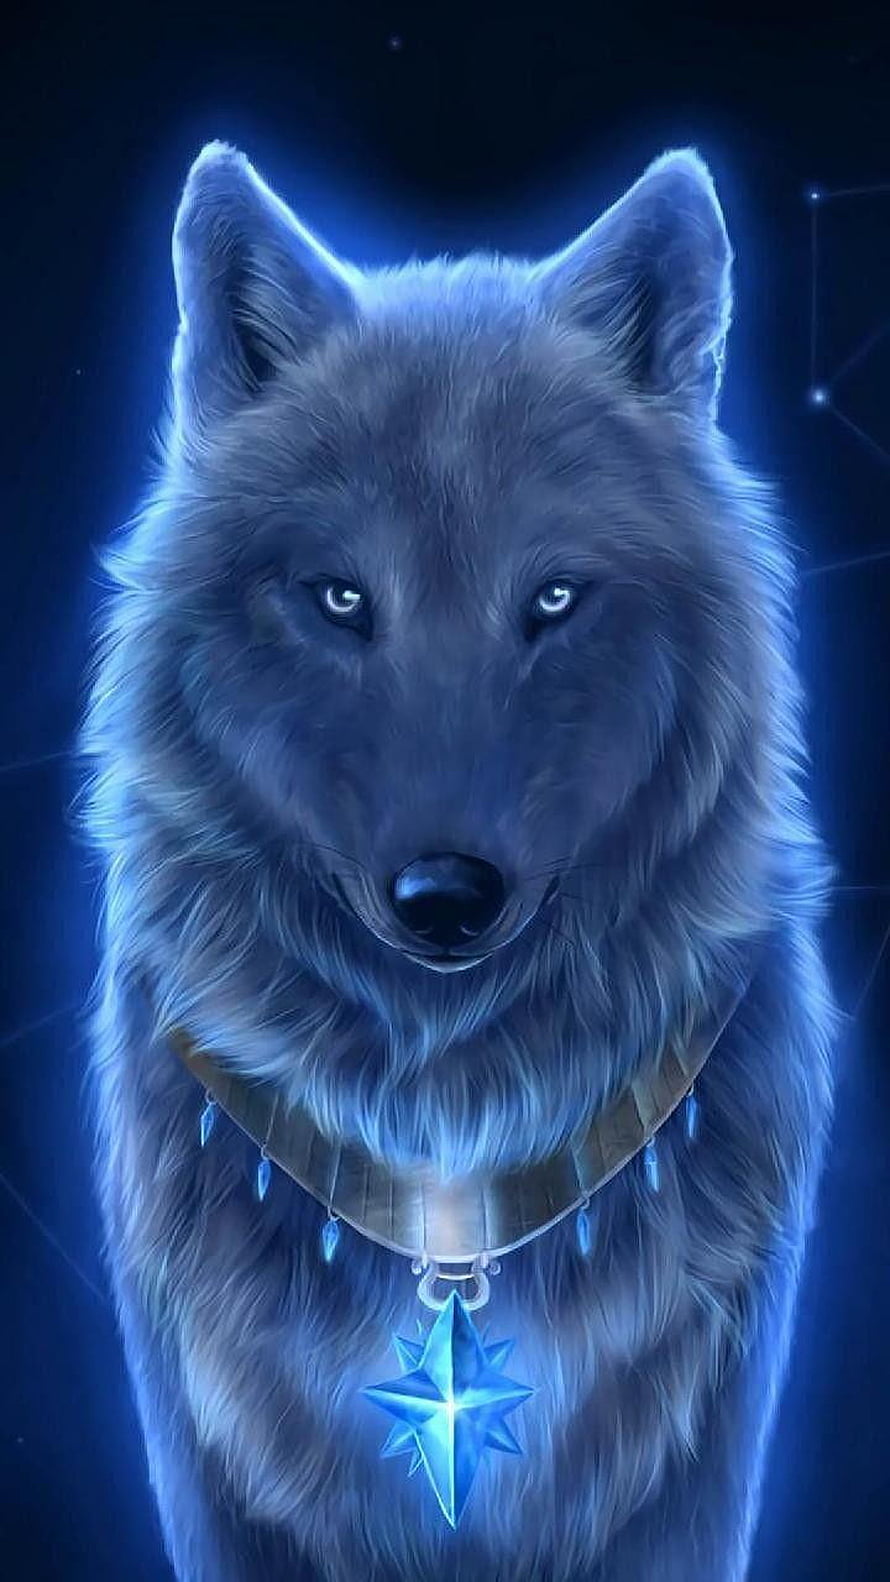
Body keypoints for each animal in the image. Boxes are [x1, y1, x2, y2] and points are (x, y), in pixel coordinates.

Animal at [81, 139, 837, 1582]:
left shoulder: (693, 1470)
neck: (447, 1172)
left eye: (551, 598)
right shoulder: (213, 1468)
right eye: (339, 598)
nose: (444, 899)